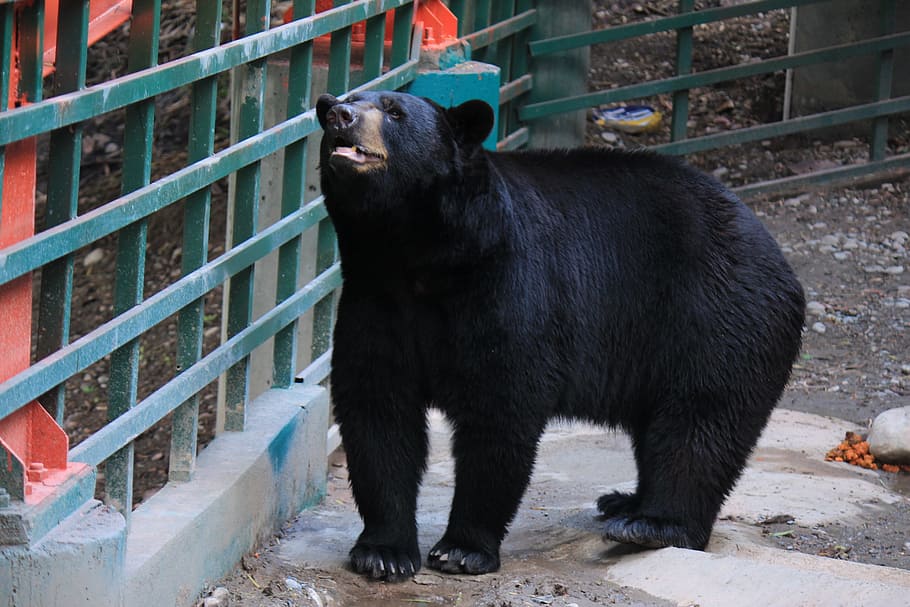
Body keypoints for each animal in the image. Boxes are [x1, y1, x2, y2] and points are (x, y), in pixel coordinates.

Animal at [315, 90, 805, 582]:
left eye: (394, 111)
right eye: (350, 98)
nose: (339, 113)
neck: (420, 254)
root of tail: (778, 257)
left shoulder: (509, 284)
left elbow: (501, 407)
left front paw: (462, 548)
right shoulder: (375, 297)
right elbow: (379, 409)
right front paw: (384, 550)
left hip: (718, 313)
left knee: (702, 417)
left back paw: (654, 523)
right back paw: (625, 501)